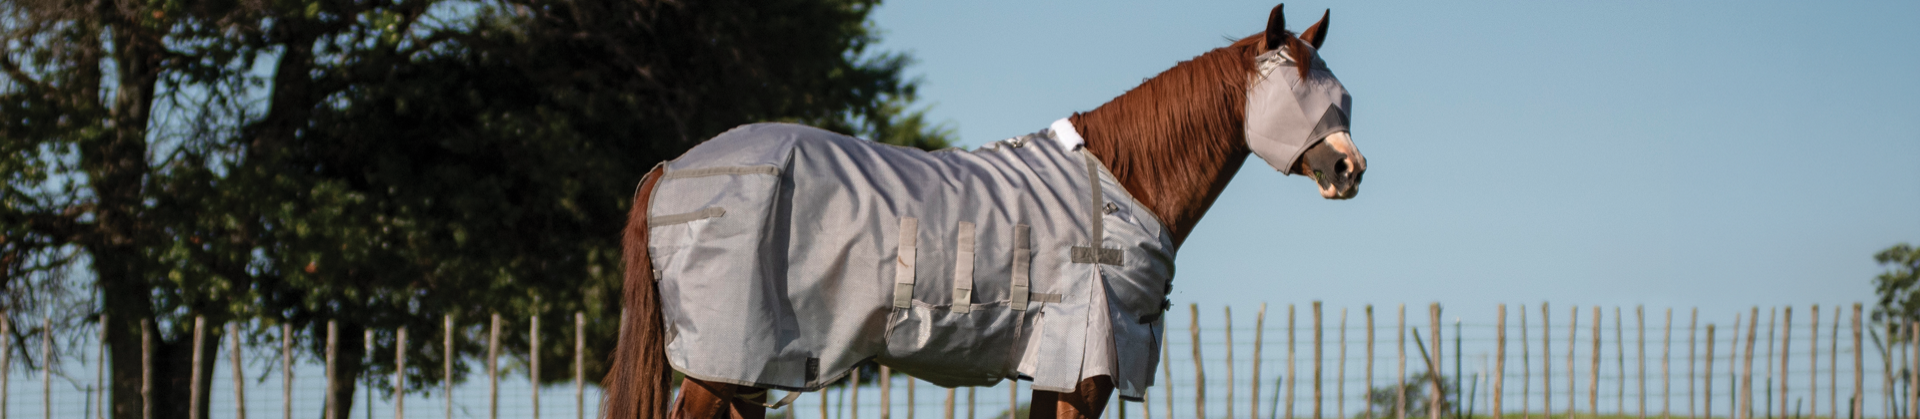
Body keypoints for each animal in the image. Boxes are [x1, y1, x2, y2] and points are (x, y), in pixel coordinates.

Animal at [602, 4, 1367, 419]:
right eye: (1301, 94)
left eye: (1343, 97)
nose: (1349, 169)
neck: (1121, 182)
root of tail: (673, 169)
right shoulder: (1085, 370)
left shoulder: (1058, 373)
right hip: (720, 365)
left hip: (746, 372)